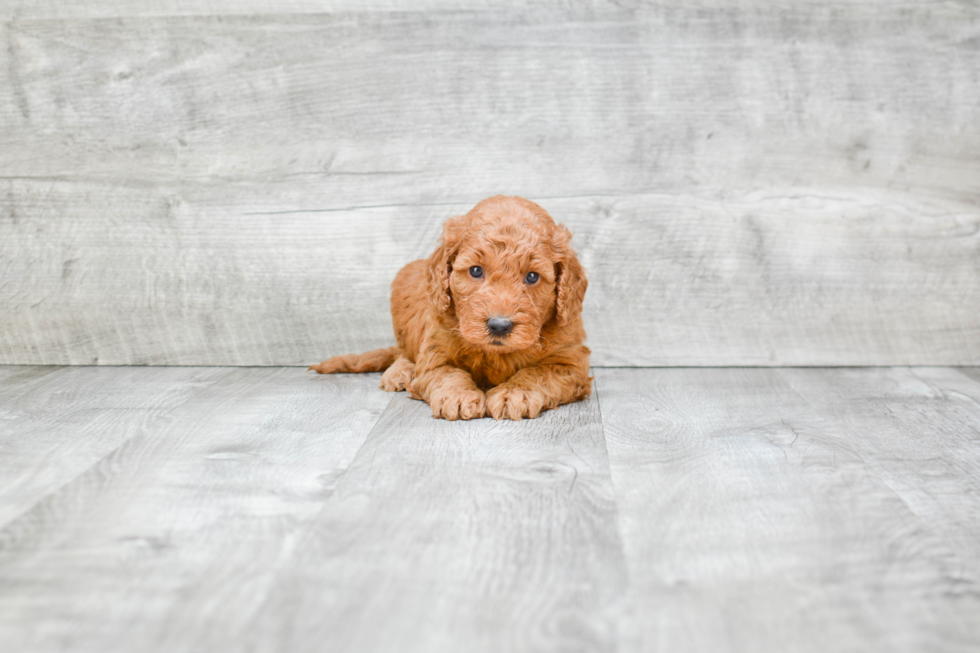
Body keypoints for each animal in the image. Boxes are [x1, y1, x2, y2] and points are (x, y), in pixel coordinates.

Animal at [312, 194, 588, 420]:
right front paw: (458, 396)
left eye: (532, 277)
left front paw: (515, 393)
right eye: (476, 271)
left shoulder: (572, 363)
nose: (499, 326)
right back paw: (399, 372)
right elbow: (448, 373)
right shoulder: (435, 351)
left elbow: (539, 372)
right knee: (403, 351)